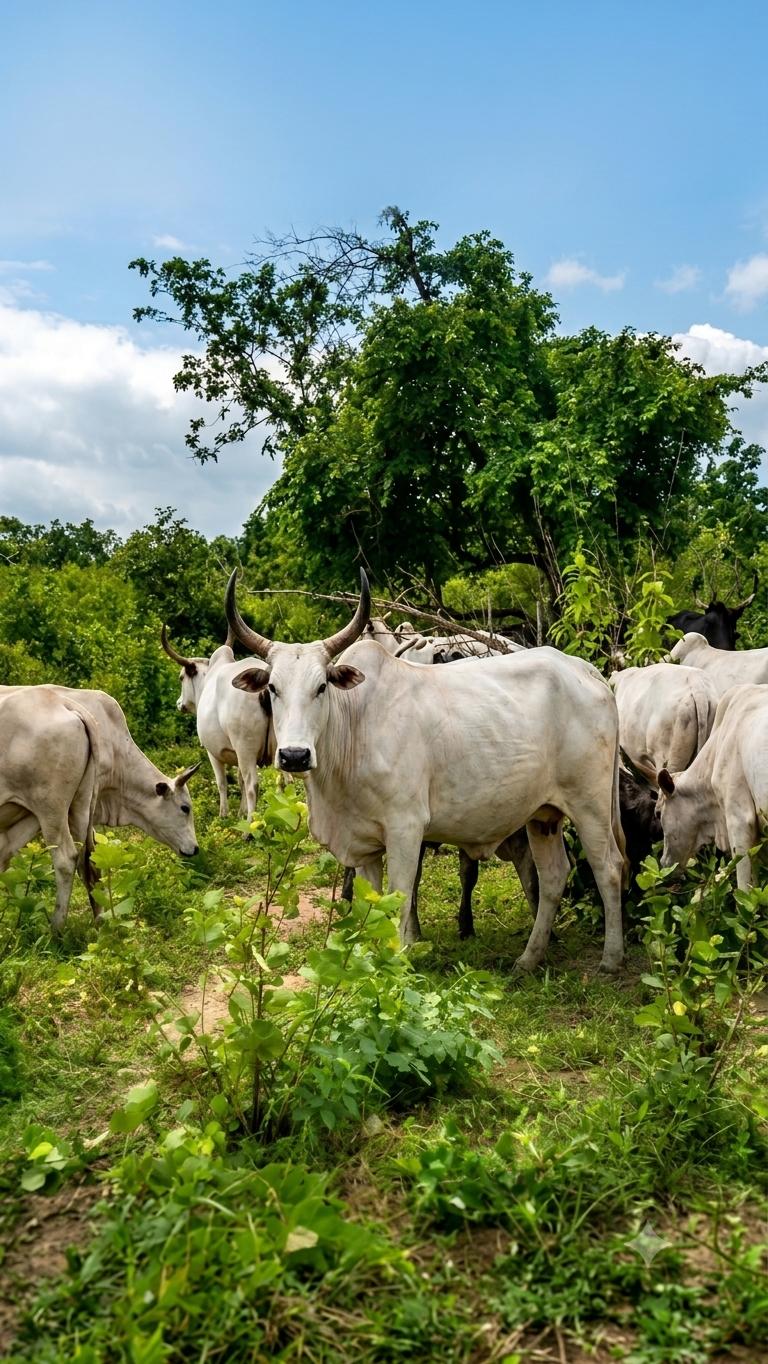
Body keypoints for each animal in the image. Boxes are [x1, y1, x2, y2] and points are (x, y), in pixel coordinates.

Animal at [0, 688, 100, 931]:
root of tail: (62, 701)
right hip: (80, 805)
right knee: (88, 860)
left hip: (50, 808)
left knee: (66, 860)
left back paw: (56, 928)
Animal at [161, 626, 273, 818]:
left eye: (181, 677)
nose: (179, 703)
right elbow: (240, 781)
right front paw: (240, 813)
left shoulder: (213, 752)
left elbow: (222, 783)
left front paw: (224, 815)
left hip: (246, 748)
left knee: (253, 785)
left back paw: (251, 824)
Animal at [226, 570, 627, 973]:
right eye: (272, 688)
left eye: (321, 686)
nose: (294, 756)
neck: (354, 726)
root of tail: (585, 670)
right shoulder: (364, 846)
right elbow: (372, 907)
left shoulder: (406, 828)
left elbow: (401, 899)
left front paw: (400, 964)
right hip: (543, 815)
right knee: (553, 875)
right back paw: (529, 958)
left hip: (589, 805)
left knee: (609, 867)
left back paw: (611, 957)